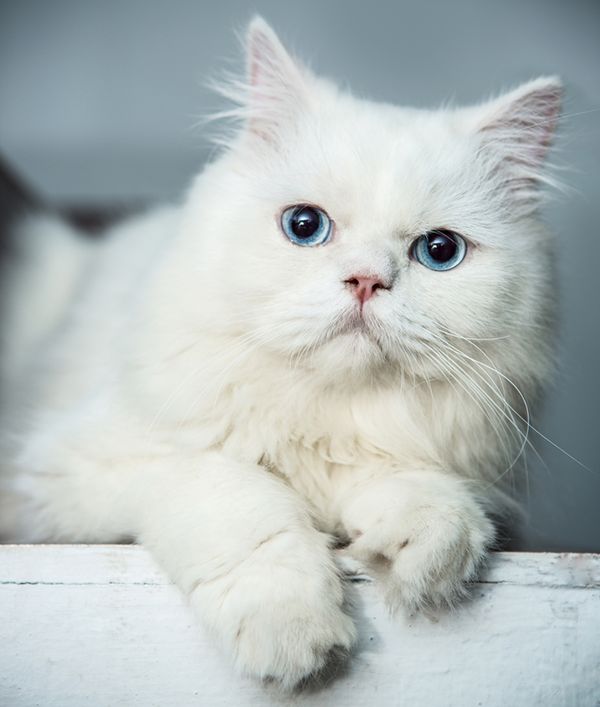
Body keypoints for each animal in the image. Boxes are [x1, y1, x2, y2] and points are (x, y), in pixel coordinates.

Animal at [0, 18, 564, 692]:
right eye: (304, 226)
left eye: (439, 251)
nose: (367, 281)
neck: (319, 417)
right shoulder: (70, 472)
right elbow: (237, 498)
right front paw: (292, 631)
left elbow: (418, 491)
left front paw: (423, 550)